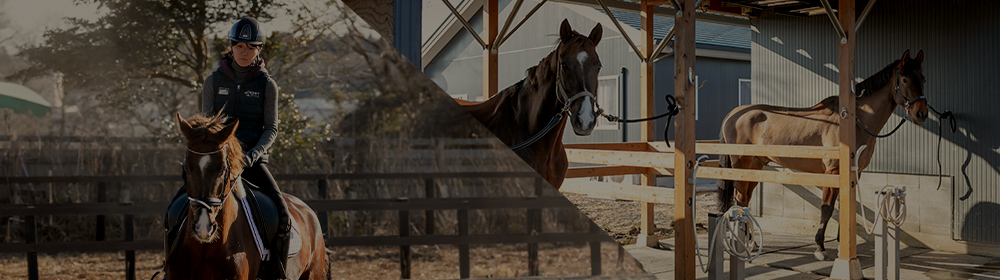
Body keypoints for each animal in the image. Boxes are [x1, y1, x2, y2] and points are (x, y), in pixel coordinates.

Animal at [720, 49, 928, 260]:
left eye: (923, 79)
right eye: (904, 79)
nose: (922, 114)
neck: (854, 122)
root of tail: (733, 114)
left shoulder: (854, 173)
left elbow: (846, 205)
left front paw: (842, 244)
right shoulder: (833, 171)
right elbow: (827, 208)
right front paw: (820, 247)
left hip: (755, 166)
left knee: (746, 198)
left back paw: (750, 242)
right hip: (741, 165)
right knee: (740, 198)